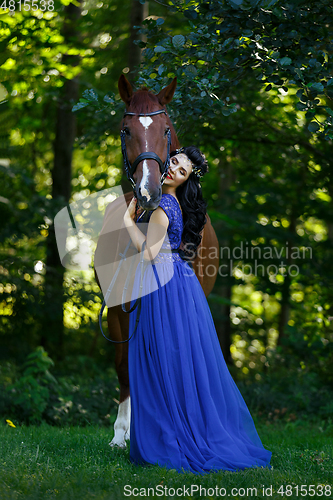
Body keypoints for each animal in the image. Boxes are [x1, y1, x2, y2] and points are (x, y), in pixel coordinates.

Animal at [94, 75, 218, 450]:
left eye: (166, 130)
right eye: (125, 130)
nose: (148, 193)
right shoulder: (120, 307)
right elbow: (125, 364)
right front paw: (122, 433)